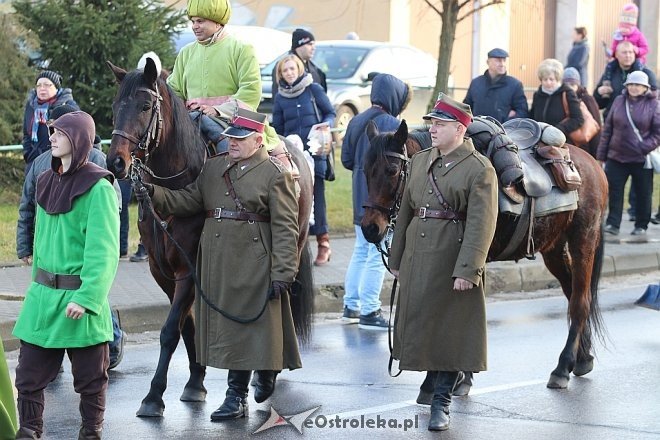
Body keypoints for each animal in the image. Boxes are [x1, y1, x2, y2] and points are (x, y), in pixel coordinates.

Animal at [105, 57, 314, 416]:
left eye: (145, 106)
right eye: (117, 105)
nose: (116, 161)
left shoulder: (189, 269)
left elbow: (169, 331)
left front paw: (153, 395)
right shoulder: (163, 272)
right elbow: (187, 326)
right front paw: (195, 382)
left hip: (292, 245)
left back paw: (265, 378)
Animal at [360, 119, 608, 388]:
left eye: (392, 171)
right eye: (365, 171)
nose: (370, 228)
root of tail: (592, 164)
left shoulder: (472, 260)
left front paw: (459, 376)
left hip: (583, 241)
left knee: (580, 302)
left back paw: (563, 367)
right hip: (553, 250)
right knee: (573, 293)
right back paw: (582, 358)